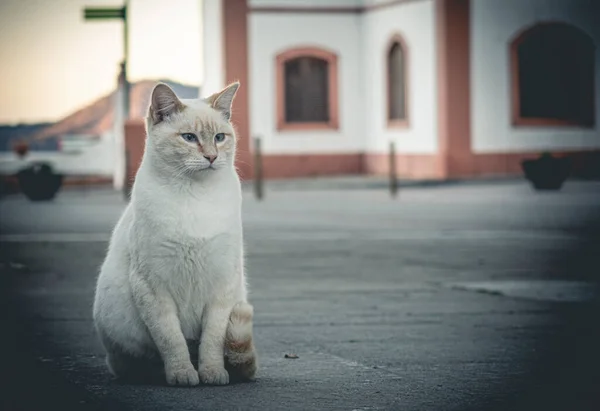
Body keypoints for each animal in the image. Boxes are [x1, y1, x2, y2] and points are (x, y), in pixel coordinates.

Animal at [92, 81, 256, 386]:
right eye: (189, 138)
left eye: (219, 137)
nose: (212, 157)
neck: (195, 195)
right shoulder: (152, 287)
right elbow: (172, 340)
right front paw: (182, 374)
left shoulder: (223, 286)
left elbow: (212, 341)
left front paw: (212, 373)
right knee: (139, 361)